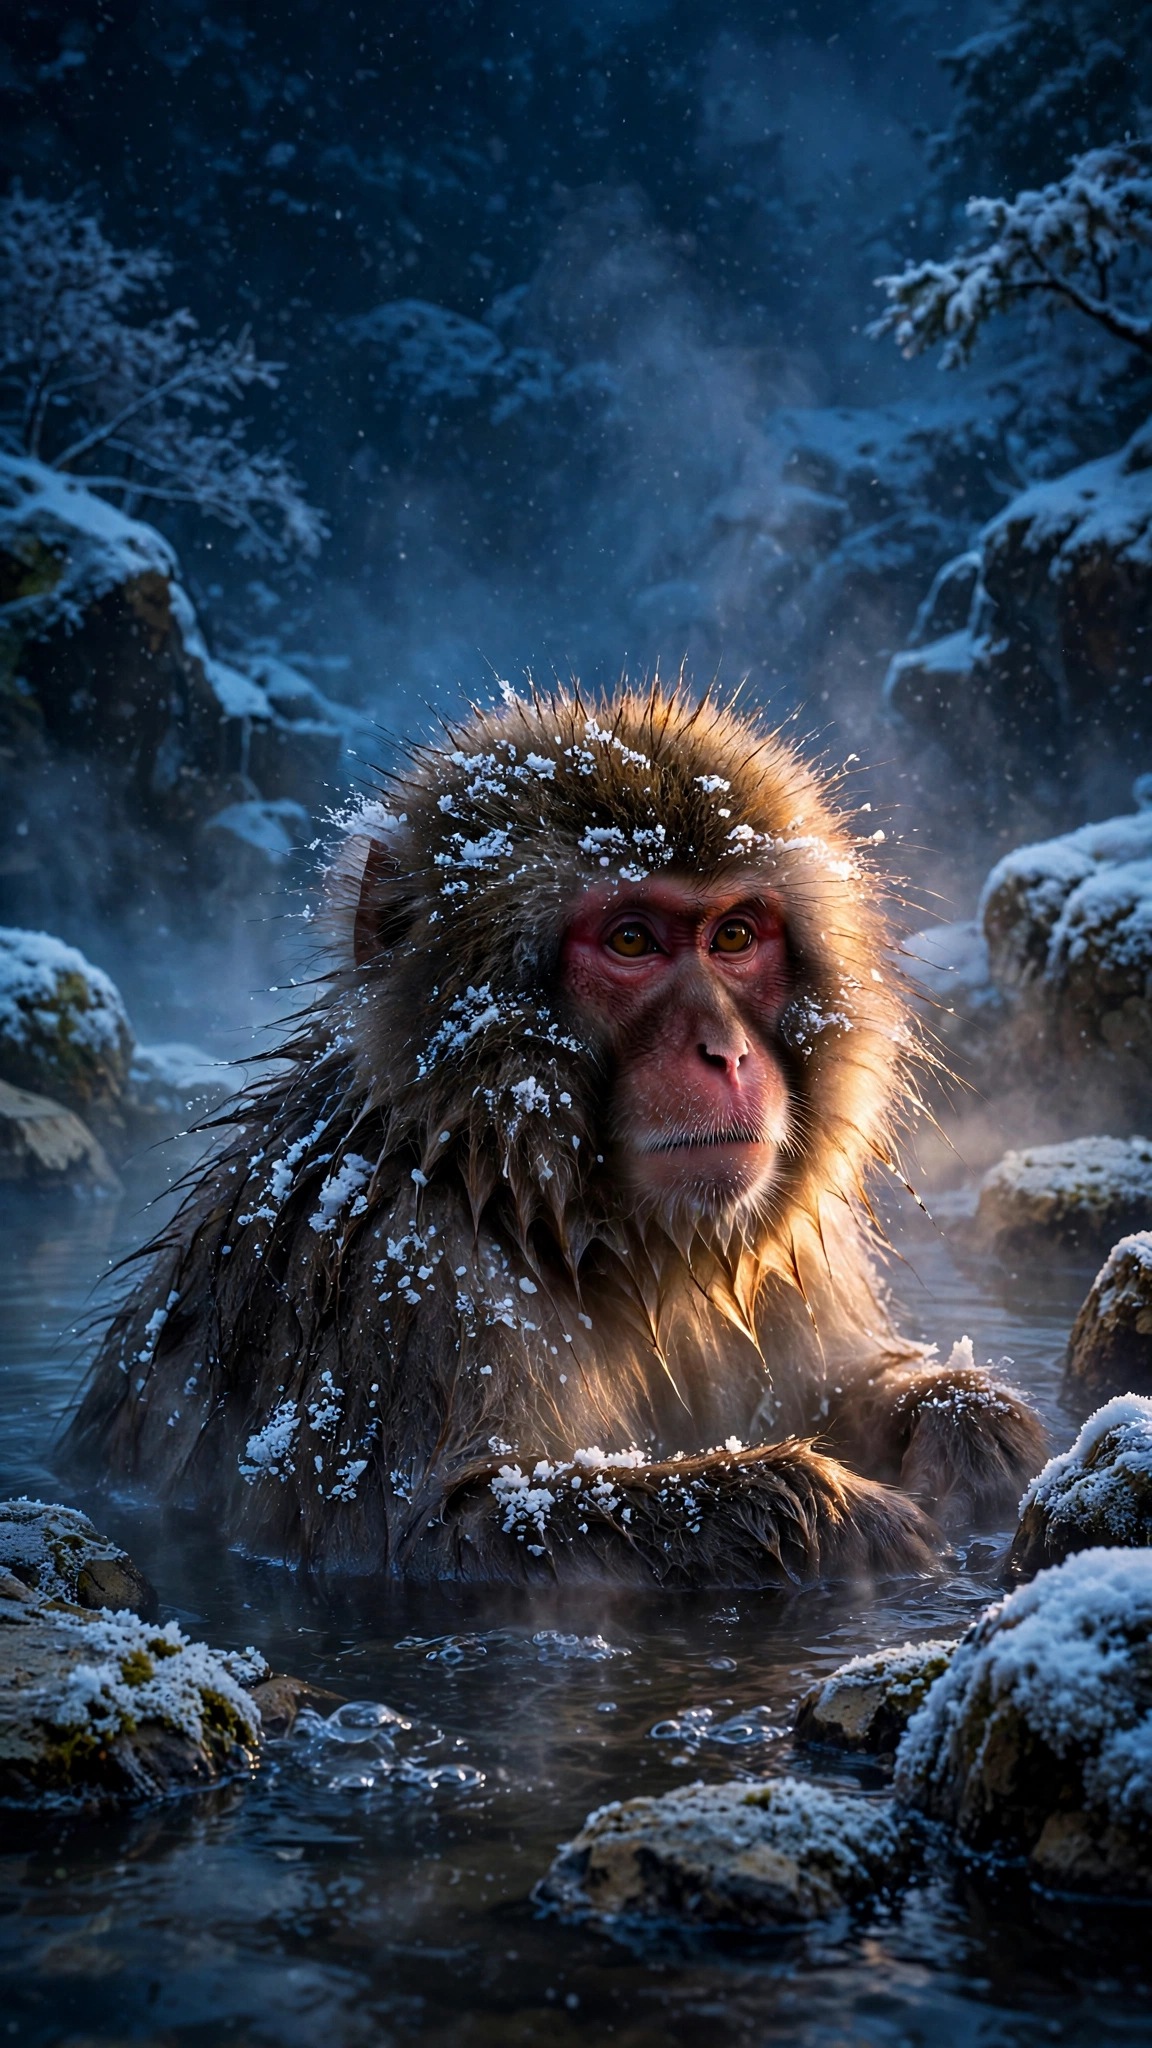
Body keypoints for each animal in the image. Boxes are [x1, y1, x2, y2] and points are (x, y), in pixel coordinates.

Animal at [64, 682, 1045, 1587]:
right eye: (631, 941)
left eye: (734, 936)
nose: (725, 1052)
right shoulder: (403, 1275)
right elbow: (440, 1532)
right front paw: (845, 1514)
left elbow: (839, 1380)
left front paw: (971, 1434)